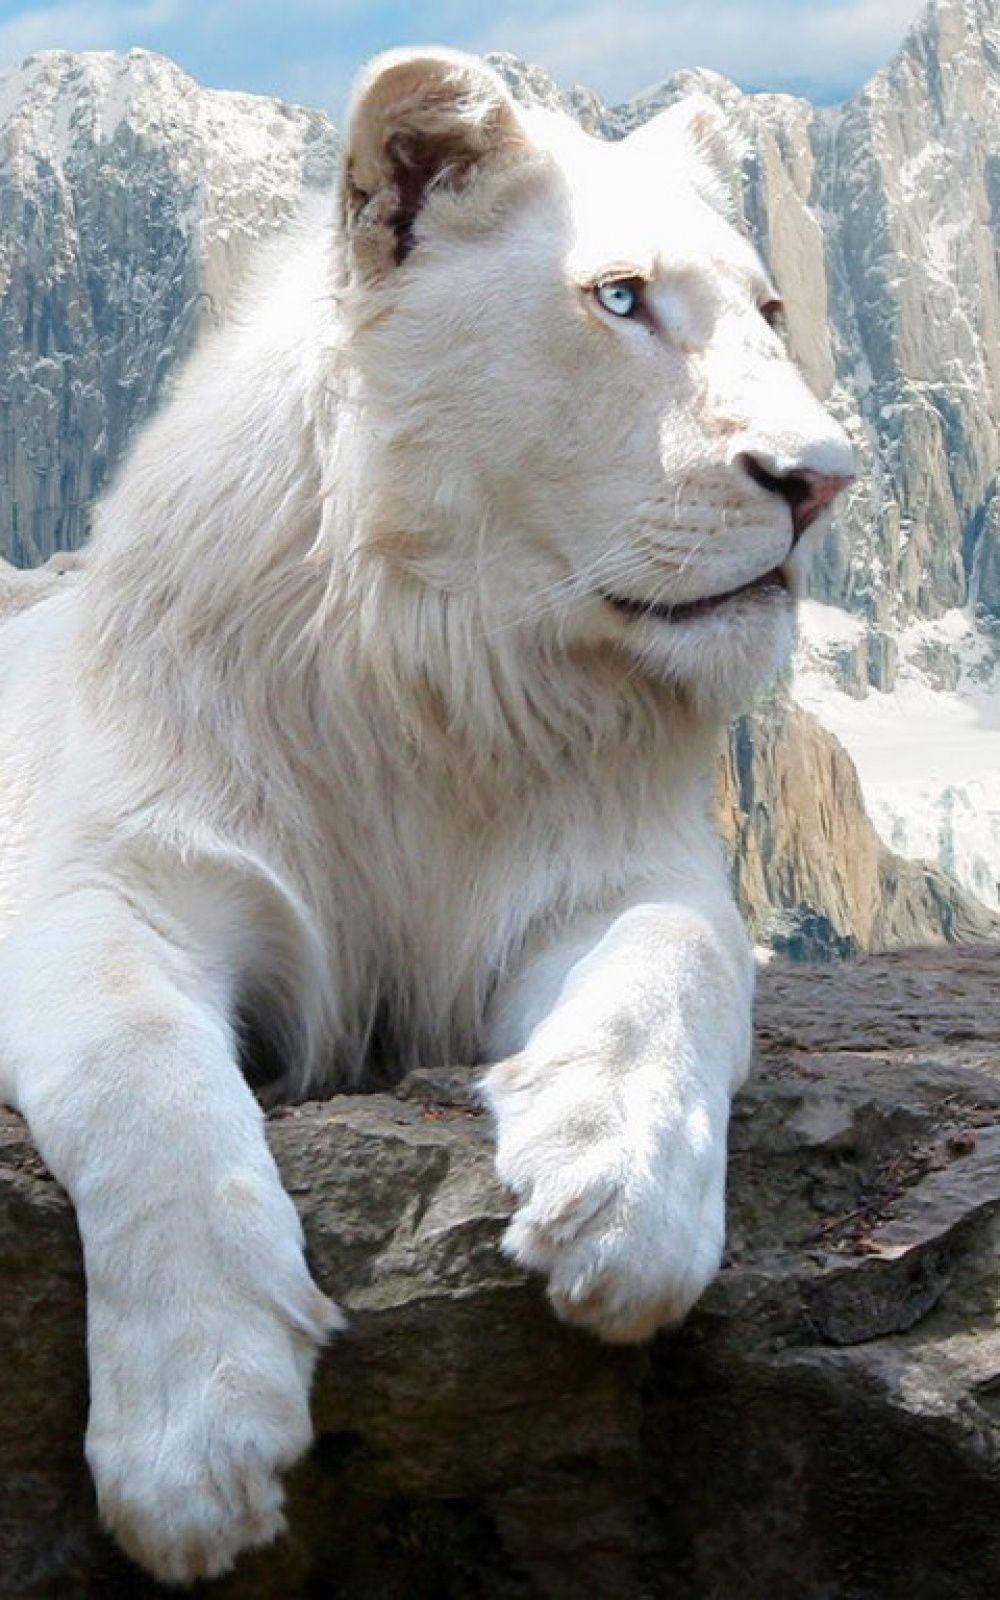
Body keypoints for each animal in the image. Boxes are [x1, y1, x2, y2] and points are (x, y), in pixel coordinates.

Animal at [0, 49, 853, 1583]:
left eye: (768, 310)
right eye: (620, 299)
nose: (823, 479)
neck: (446, 676)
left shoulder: (624, 871)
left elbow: (677, 966)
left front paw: (619, 1196)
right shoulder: (111, 882)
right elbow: (143, 1081)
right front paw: (197, 1441)